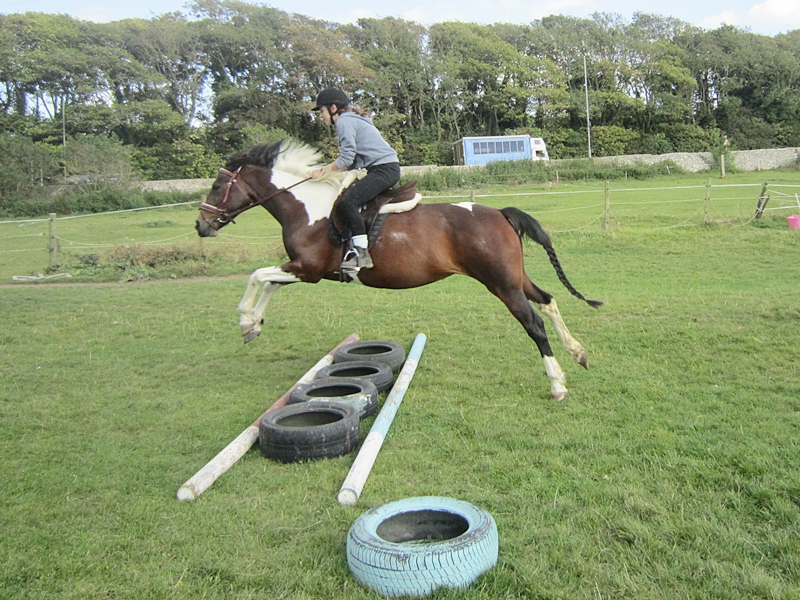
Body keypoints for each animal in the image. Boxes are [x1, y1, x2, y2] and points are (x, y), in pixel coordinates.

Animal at [195, 139, 602, 401]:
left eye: (216, 187)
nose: (201, 226)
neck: (307, 209)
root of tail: (500, 212)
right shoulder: (301, 270)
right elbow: (269, 284)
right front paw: (254, 326)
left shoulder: (307, 269)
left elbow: (258, 277)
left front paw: (245, 320)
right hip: (514, 278)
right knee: (548, 300)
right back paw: (578, 352)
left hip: (501, 284)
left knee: (534, 323)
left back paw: (557, 385)